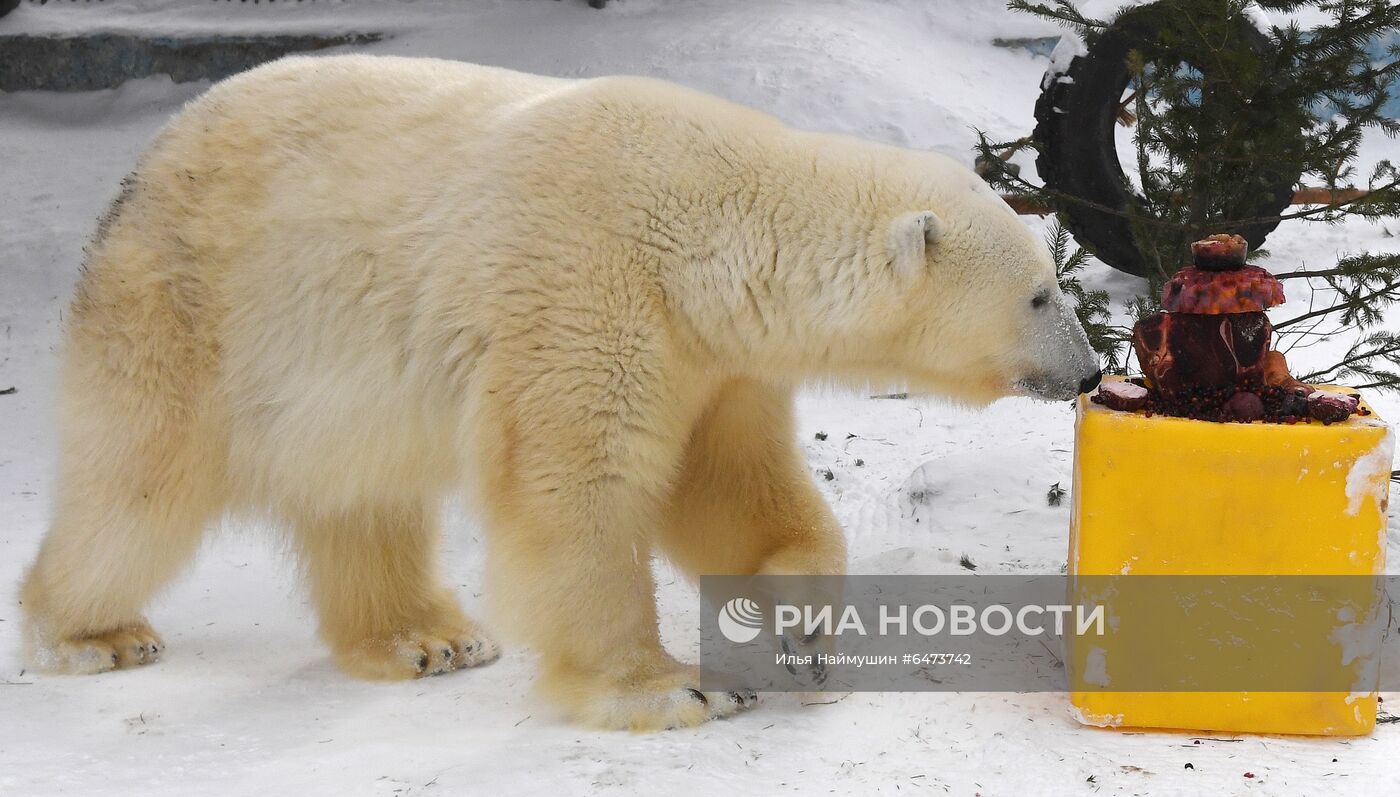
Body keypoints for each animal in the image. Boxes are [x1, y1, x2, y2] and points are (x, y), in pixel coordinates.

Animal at [16, 54, 1097, 728]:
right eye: (1040, 291)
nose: (1090, 370)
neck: (702, 224)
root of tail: (147, 159)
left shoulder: (711, 355)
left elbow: (729, 487)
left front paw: (803, 627)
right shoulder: (587, 285)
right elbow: (577, 491)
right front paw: (670, 690)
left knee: (361, 493)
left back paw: (426, 637)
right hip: (190, 307)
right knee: (139, 483)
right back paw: (89, 632)